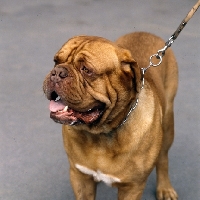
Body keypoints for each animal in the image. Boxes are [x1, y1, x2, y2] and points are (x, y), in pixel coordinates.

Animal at [43, 32, 177, 199]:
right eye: (56, 61)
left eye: (86, 69)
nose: (57, 72)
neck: (100, 134)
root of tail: (146, 33)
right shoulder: (80, 177)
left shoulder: (132, 186)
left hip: (168, 123)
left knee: (163, 158)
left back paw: (165, 188)